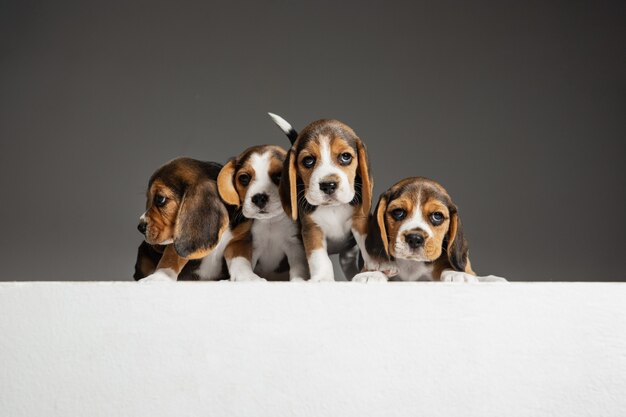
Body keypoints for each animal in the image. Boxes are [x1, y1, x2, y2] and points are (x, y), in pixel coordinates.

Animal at [217, 145, 310, 282]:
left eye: (279, 176)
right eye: (244, 178)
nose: (259, 198)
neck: (269, 222)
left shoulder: (294, 244)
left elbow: (299, 266)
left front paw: (299, 280)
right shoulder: (250, 245)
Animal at [268, 113, 370, 280]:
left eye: (346, 157)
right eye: (308, 160)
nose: (328, 185)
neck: (333, 208)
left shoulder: (361, 222)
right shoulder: (312, 229)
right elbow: (319, 258)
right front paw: (322, 278)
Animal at [354, 176, 504, 282]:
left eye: (437, 216)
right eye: (398, 212)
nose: (415, 238)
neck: (412, 264)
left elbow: (446, 267)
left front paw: (455, 274)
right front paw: (372, 274)